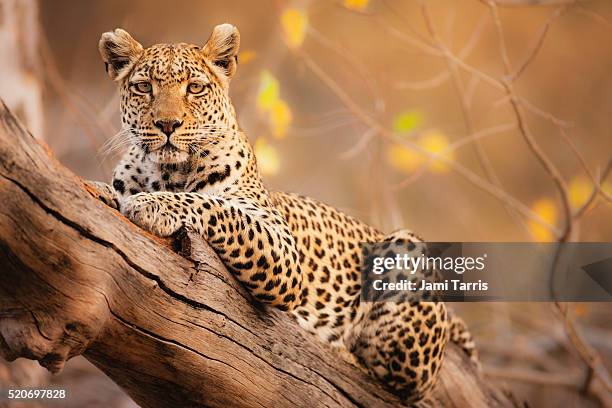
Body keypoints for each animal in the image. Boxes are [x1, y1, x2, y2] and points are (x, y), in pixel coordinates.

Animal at [87, 23, 478, 404]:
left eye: (194, 88)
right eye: (144, 87)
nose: (168, 125)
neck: (167, 173)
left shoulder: (282, 251)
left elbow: (216, 207)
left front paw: (152, 205)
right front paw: (106, 192)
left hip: (406, 251)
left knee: (401, 383)